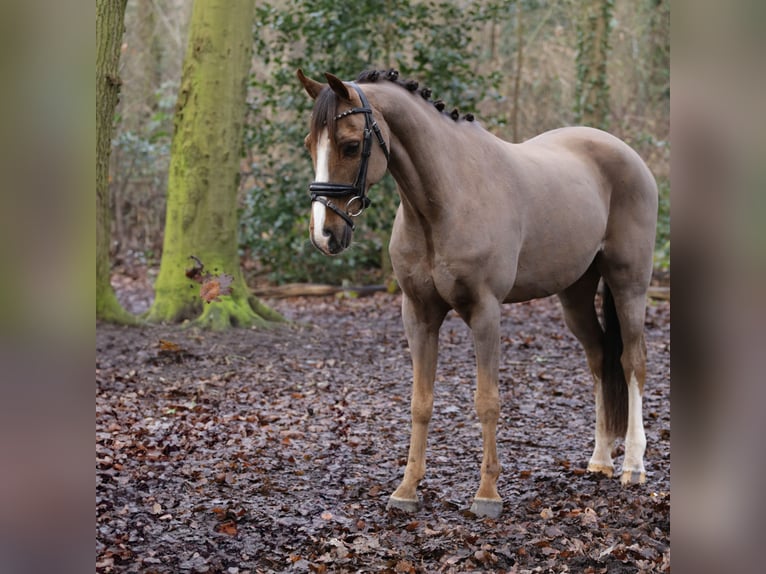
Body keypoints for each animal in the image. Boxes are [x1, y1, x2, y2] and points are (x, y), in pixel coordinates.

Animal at [296, 68, 656, 520]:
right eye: (310, 144)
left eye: (350, 145)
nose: (324, 235)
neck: (445, 202)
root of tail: (627, 154)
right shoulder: (418, 314)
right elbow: (420, 402)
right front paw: (407, 489)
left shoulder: (486, 312)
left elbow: (487, 402)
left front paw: (487, 494)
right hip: (575, 296)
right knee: (599, 360)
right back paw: (601, 460)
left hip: (629, 285)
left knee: (632, 361)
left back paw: (633, 466)